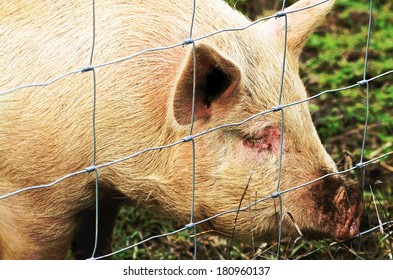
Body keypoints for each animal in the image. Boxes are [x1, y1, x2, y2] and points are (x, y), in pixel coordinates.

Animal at [0, 0, 362, 260]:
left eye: (305, 113)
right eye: (257, 136)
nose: (354, 206)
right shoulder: (32, 197)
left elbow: (97, 246)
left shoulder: (102, 196)